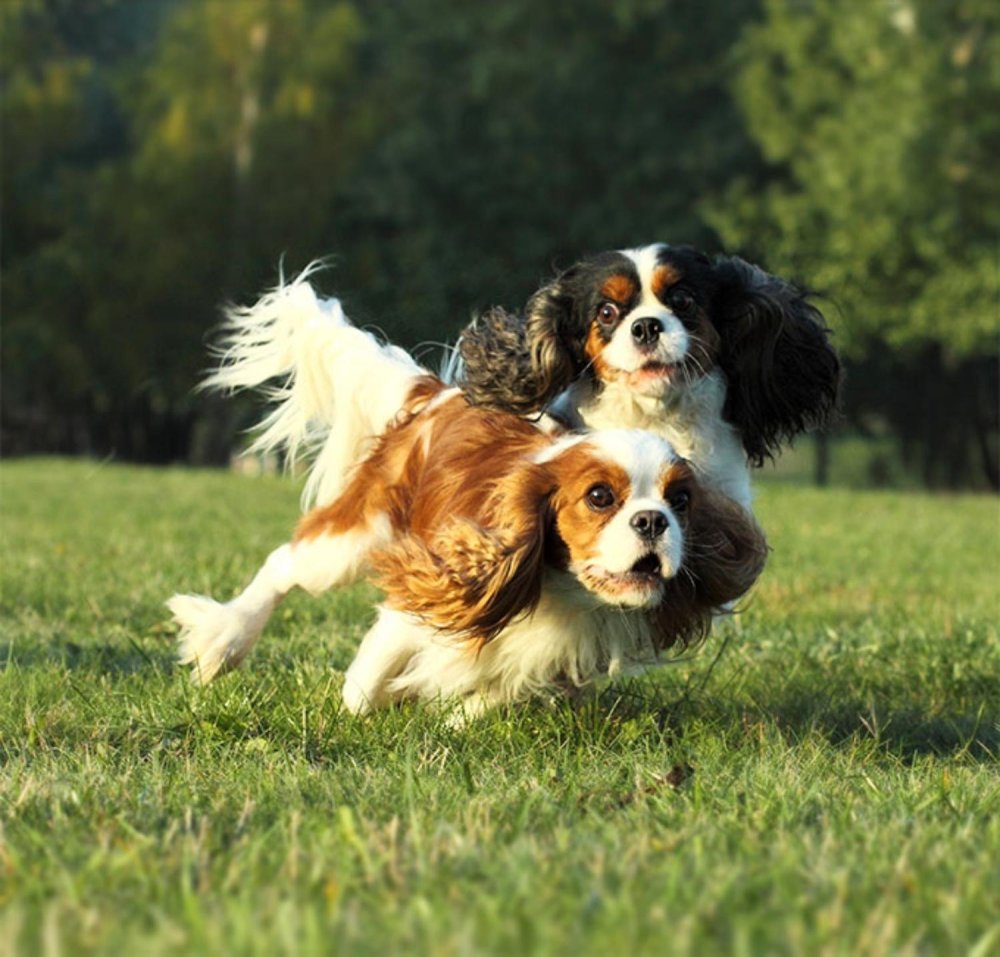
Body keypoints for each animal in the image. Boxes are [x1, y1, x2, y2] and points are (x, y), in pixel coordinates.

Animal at [170, 268, 764, 716]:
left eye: (680, 503)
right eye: (599, 497)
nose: (652, 521)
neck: (565, 593)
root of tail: (440, 393)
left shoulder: (547, 657)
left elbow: (490, 696)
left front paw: (457, 714)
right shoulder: (429, 590)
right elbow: (366, 683)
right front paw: (365, 708)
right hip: (355, 538)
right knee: (284, 564)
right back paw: (226, 640)